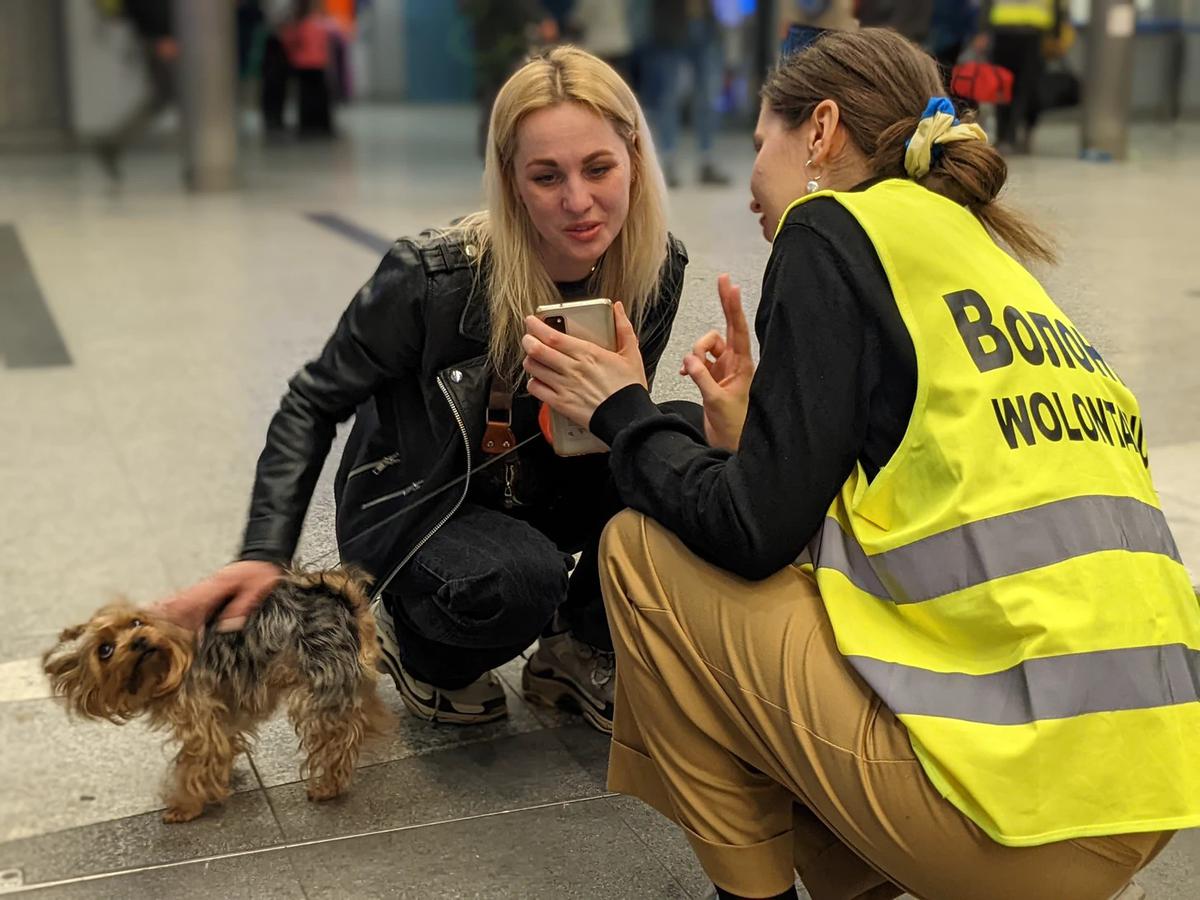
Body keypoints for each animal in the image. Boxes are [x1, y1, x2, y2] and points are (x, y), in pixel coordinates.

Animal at [39, 571, 388, 825]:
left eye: (136, 622)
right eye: (105, 650)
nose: (139, 640)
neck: (162, 669)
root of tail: (339, 601)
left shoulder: (198, 719)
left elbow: (193, 764)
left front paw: (186, 805)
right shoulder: (220, 713)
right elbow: (222, 745)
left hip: (320, 682)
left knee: (338, 736)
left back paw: (329, 785)